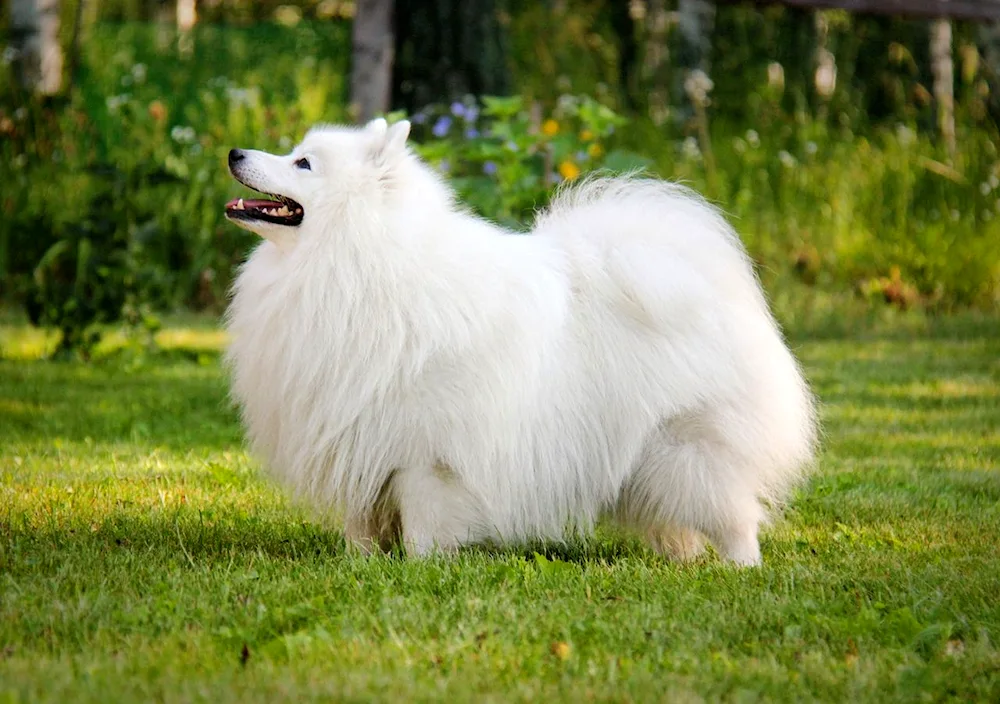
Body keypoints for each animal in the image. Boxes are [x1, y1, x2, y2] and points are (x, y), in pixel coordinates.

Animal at [223, 117, 816, 568]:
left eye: (303, 163)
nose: (233, 150)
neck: (356, 261)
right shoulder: (358, 438)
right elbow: (363, 524)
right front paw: (361, 565)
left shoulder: (425, 456)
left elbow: (422, 523)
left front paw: (420, 568)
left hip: (689, 446)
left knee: (734, 516)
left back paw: (740, 568)